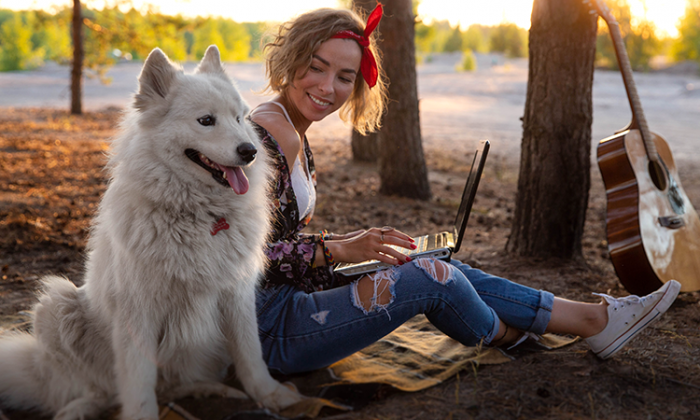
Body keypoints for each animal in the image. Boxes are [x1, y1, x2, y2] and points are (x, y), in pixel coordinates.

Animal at [0, 44, 302, 418]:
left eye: (239, 118)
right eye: (206, 120)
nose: (250, 152)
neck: (198, 215)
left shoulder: (237, 295)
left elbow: (251, 355)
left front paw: (270, 395)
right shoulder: (137, 311)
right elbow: (138, 379)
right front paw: (141, 413)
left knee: (172, 386)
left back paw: (211, 390)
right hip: (56, 305)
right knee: (95, 389)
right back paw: (79, 408)